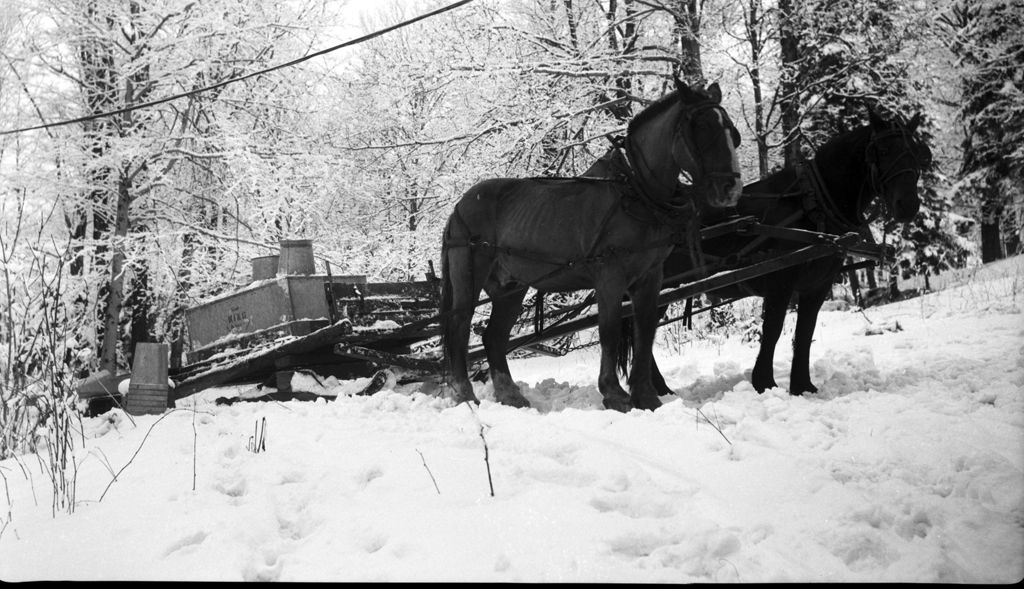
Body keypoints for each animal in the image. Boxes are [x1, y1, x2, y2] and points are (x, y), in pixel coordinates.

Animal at [440, 80, 745, 411]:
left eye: (732, 131)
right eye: (700, 128)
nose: (730, 189)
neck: (635, 192)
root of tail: (459, 206)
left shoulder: (651, 276)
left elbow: (645, 329)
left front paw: (646, 396)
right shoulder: (610, 275)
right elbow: (609, 330)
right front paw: (614, 394)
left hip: (510, 287)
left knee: (494, 337)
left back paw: (511, 396)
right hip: (469, 275)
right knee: (458, 328)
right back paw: (465, 395)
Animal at [630, 109, 929, 399]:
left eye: (916, 152)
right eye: (884, 151)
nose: (908, 205)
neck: (812, 204)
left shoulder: (817, 285)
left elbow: (805, 332)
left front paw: (802, 386)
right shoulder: (780, 281)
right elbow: (773, 330)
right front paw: (764, 383)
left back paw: (658, 389)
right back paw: (656, 391)